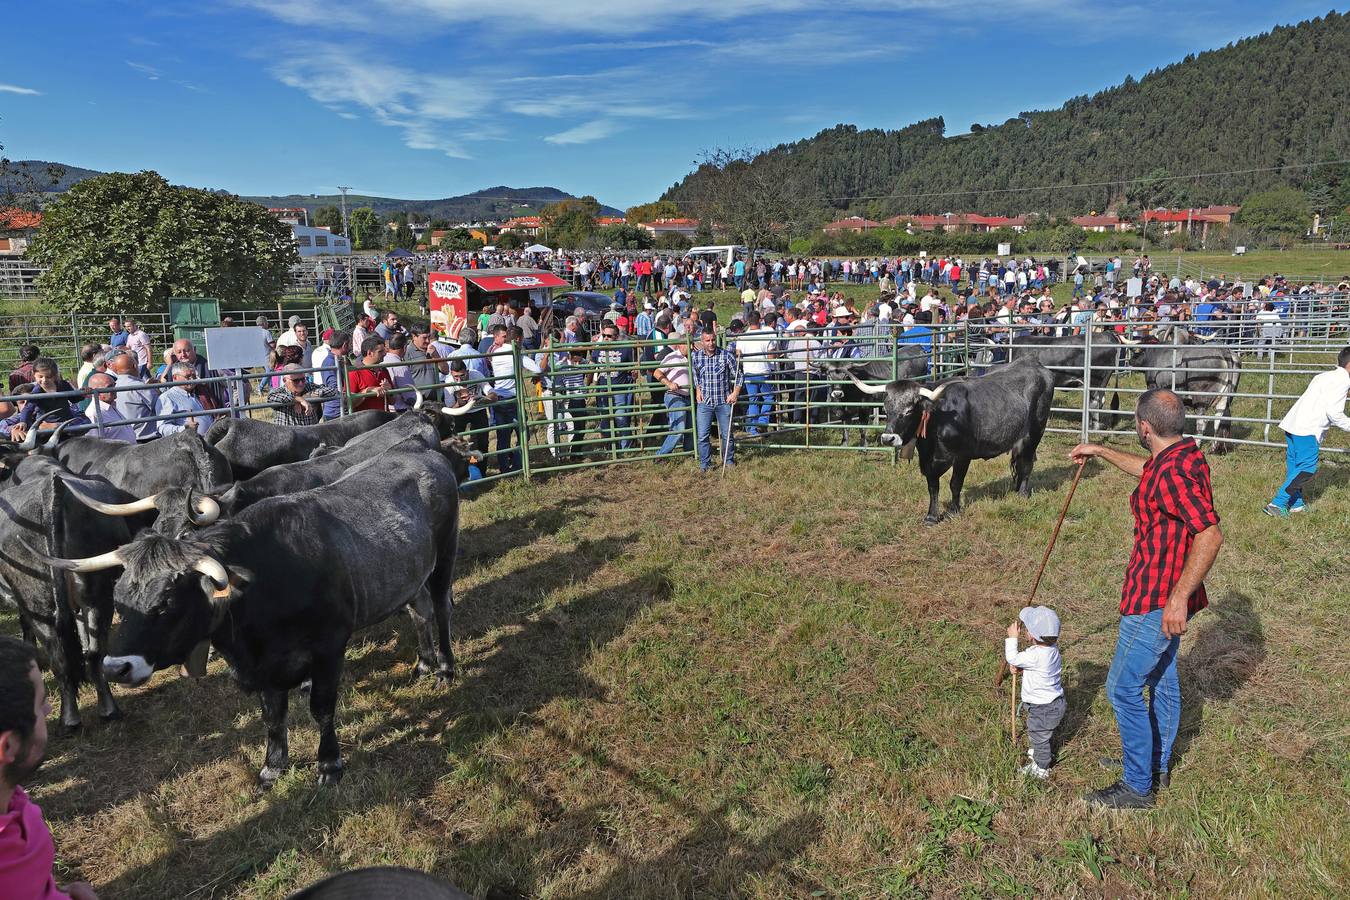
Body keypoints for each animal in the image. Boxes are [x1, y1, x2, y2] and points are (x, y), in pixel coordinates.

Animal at [40, 447, 459, 782]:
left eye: (167, 602)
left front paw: (329, 764)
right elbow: (272, 715)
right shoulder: (264, 669)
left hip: (443, 560)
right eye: (121, 596)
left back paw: (444, 668)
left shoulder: (329, 649)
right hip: (409, 574)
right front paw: (273, 766)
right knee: (419, 610)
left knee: (439, 610)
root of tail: (425, 454)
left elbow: (321, 708)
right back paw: (423, 664)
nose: (115, 668)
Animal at [853, 358, 1053, 523]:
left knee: (1026, 464)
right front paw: (931, 516)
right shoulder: (928, 461)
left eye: (909, 410)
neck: (939, 418)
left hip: (1034, 434)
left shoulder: (962, 456)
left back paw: (1022, 494)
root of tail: (1034, 364)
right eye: (886, 409)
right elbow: (933, 487)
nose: (888, 438)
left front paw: (953, 511)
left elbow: (955, 483)